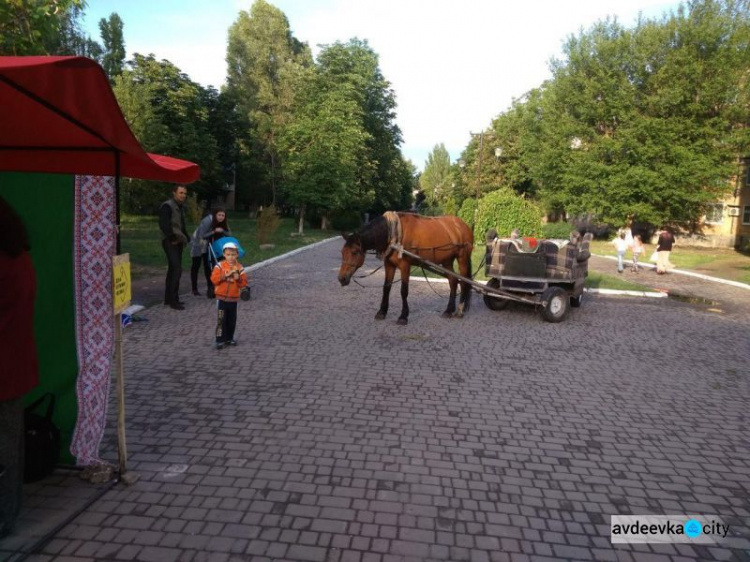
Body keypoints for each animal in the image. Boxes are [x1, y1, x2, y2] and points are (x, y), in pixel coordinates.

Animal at [340, 210, 472, 324]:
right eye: (342, 252)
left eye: (354, 252)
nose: (341, 278)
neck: (393, 235)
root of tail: (462, 225)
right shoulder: (389, 265)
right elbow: (386, 288)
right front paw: (382, 312)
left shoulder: (405, 266)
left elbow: (403, 291)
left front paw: (403, 316)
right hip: (447, 261)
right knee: (453, 281)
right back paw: (449, 310)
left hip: (462, 258)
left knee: (464, 282)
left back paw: (460, 310)